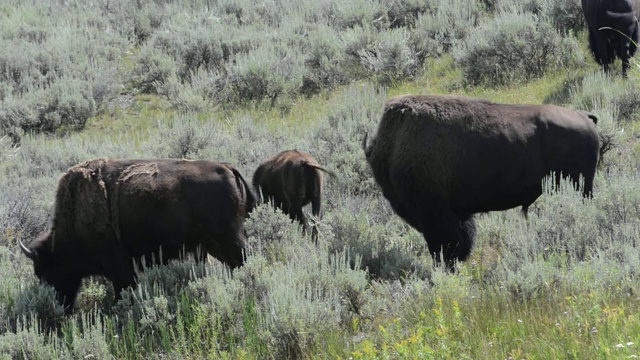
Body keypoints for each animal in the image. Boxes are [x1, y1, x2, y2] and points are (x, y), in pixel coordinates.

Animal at [20, 158, 255, 312]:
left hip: (227, 240)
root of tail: (227, 168)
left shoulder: (121, 269)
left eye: (45, 272)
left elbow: (123, 292)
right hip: (214, 244)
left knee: (242, 260)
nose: (60, 307)